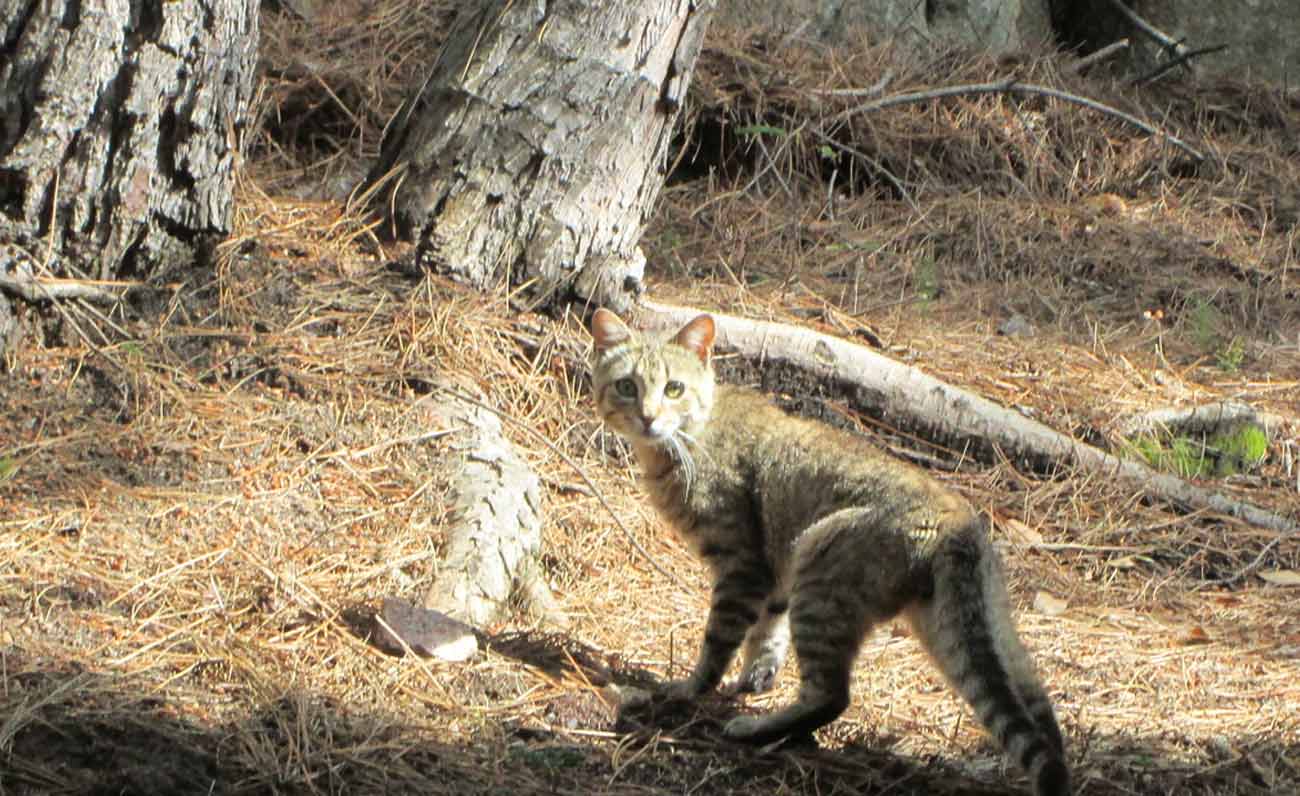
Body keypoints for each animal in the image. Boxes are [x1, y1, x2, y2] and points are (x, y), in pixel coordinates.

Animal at [590, 309, 1066, 796]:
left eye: (674, 388)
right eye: (627, 385)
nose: (647, 417)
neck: (692, 437)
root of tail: (957, 522)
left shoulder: (742, 567)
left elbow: (718, 642)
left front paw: (692, 690)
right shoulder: (775, 573)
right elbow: (766, 633)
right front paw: (755, 677)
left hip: (820, 571)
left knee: (832, 695)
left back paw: (759, 730)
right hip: (976, 632)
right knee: (1036, 715)